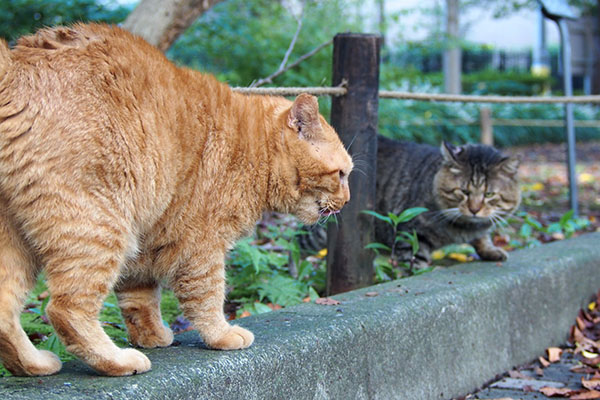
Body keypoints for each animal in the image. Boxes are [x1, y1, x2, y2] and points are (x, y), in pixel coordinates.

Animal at [0, 23, 352, 376]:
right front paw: (221, 335)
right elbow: (208, 295)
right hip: (99, 228)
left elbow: (139, 299)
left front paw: (152, 335)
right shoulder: (201, 244)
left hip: (20, 243)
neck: (254, 148)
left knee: (6, 311)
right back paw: (118, 361)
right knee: (66, 308)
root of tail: (15, 69)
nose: (348, 201)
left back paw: (32, 364)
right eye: (341, 174)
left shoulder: (147, 239)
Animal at [300, 135, 520, 268]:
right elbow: (415, 264)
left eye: (489, 194)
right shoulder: (412, 236)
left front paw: (491, 250)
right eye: (463, 191)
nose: (474, 209)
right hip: (322, 227)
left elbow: (483, 237)